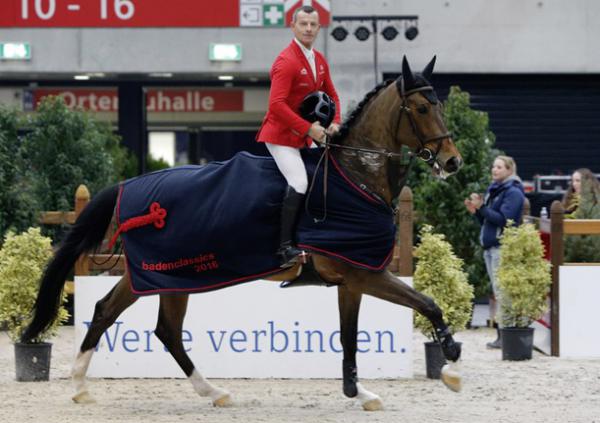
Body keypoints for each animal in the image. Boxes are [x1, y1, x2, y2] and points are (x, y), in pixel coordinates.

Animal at [21, 55, 464, 410]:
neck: (357, 177)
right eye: (421, 107)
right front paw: (451, 361)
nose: (452, 162)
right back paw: (88, 386)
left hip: (166, 277)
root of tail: (127, 186)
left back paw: (200, 391)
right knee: (124, 317)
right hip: (159, 273)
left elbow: (352, 337)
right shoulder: (364, 273)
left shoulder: (351, 280)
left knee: (148, 324)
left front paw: (360, 393)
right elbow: (427, 304)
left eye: (440, 105)